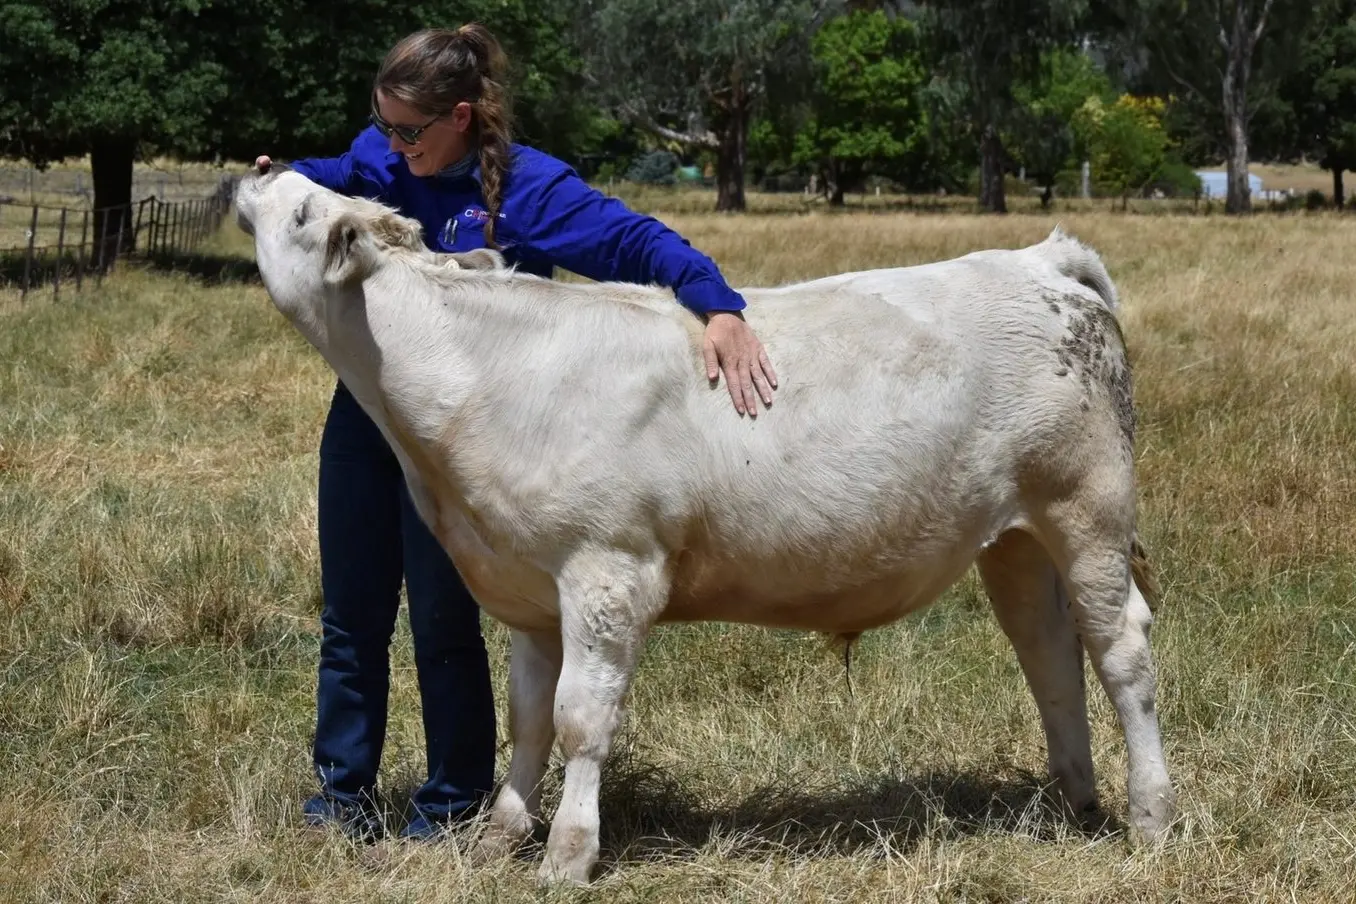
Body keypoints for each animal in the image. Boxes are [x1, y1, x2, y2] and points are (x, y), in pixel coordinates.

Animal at [234, 167, 1175, 886]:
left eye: (306, 211)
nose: (256, 170)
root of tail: (1039, 259)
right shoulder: (533, 594)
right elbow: (529, 719)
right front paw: (501, 835)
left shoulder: (607, 572)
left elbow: (582, 721)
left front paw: (568, 858)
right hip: (1016, 539)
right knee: (1050, 654)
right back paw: (1075, 802)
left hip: (1087, 509)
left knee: (1122, 652)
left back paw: (1151, 815)